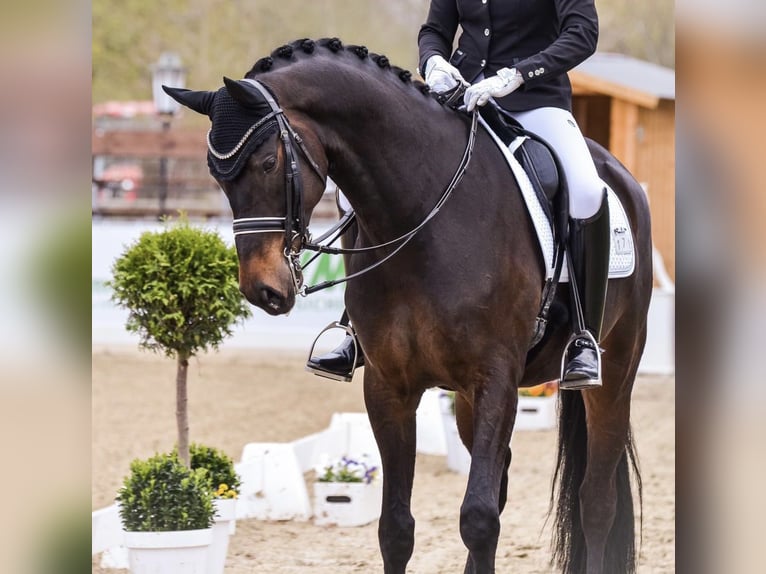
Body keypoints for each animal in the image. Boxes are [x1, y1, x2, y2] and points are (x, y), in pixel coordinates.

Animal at [166, 38, 656, 572]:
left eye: (269, 164)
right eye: (216, 175)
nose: (263, 289)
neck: (423, 214)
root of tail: (622, 177)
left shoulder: (496, 379)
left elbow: (478, 519)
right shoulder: (390, 386)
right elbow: (397, 528)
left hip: (615, 372)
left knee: (596, 501)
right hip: (465, 399)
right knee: (503, 481)